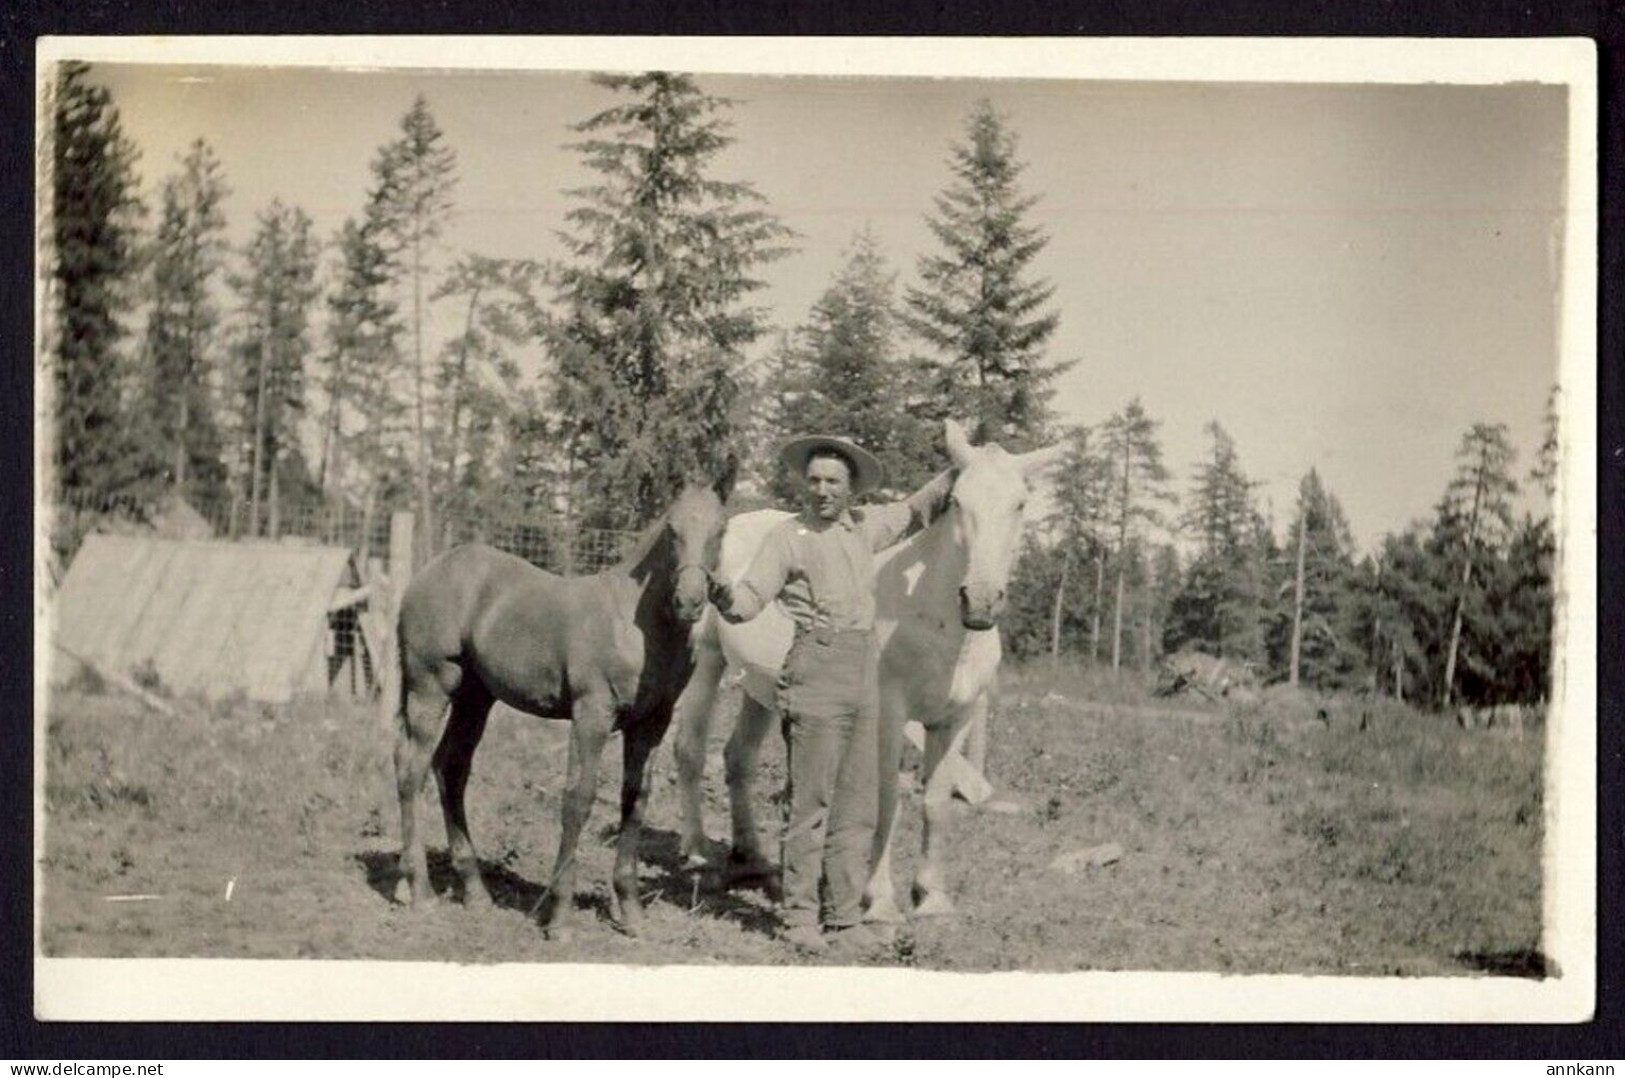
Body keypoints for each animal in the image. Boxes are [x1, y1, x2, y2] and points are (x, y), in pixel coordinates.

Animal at [390, 468, 734, 943]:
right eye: (672, 529)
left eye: (721, 529)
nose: (689, 602)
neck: (634, 625)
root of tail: (430, 570)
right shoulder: (592, 715)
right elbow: (579, 799)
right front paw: (559, 917)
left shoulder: (652, 724)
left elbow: (635, 801)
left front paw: (631, 912)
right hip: (430, 687)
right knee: (413, 769)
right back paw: (419, 891)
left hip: (476, 699)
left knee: (451, 769)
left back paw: (473, 892)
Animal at [666, 416, 1059, 923]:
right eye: (958, 502)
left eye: (1020, 504)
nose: (981, 601)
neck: (937, 625)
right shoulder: (888, 716)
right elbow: (886, 798)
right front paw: (880, 901)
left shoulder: (956, 718)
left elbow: (936, 802)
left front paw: (931, 897)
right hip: (708, 660)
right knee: (691, 748)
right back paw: (696, 851)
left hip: (760, 687)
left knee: (739, 757)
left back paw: (753, 858)